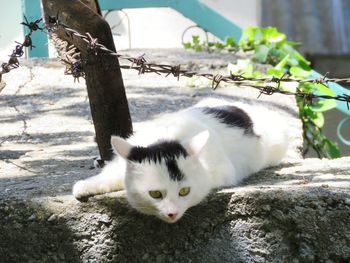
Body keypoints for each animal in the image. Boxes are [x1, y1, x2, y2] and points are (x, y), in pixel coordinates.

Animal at [72, 99, 288, 225]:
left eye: (184, 191)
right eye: (155, 194)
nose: (172, 213)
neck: (167, 137)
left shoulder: (223, 170)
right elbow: (111, 174)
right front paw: (85, 186)